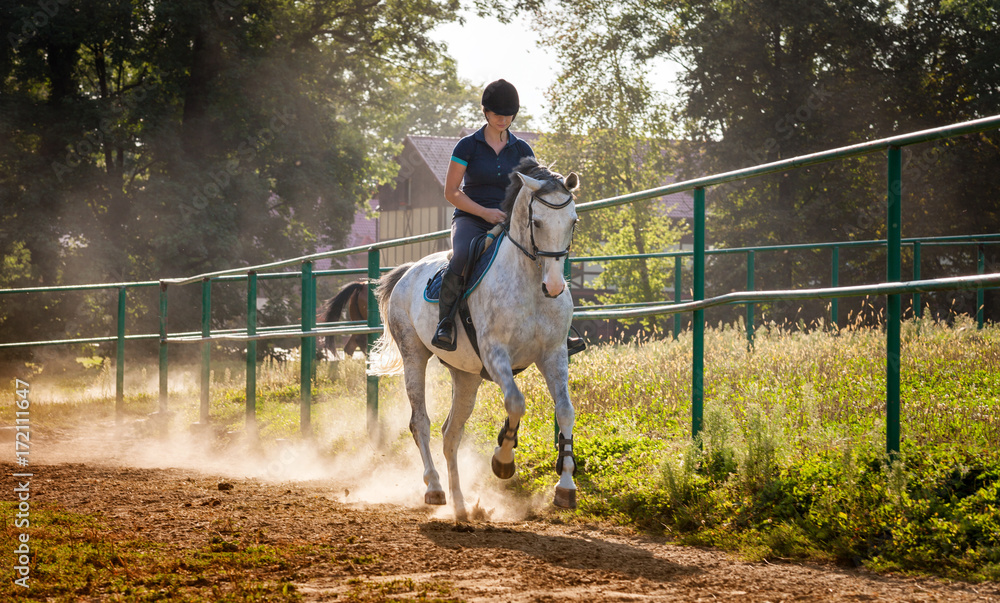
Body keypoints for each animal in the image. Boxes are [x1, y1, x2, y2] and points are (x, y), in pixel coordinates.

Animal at [370, 158, 584, 520]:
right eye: (537, 222)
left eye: (573, 221)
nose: (554, 287)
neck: (529, 284)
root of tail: (408, 271)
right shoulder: (495, 355)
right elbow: (516, 402)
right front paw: (503, 460)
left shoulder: (553, 355)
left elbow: (565, 410)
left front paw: (566, 485)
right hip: (415, 356)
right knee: (421, 423)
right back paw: (435, 488)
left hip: (466, 377)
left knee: (450, 435)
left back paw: (460, 507)